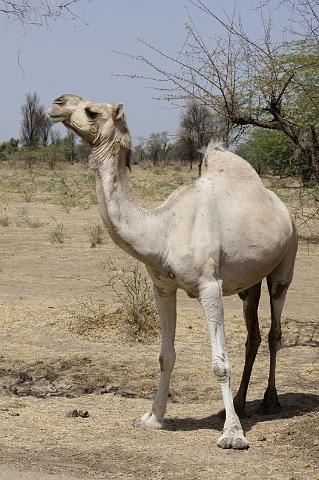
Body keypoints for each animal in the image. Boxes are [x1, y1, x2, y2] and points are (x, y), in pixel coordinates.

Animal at [48, 94, 300, 450]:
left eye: (92, 111)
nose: (58, 103)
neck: (162, 229)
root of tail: (282, 208)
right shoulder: (163, 287)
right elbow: (165, 355)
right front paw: (152, 418)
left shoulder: (209, 285)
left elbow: (219, 363)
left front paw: (233, 435)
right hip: (248, 282)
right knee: (253, 334)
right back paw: (238, 403)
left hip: (285, 261)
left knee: (276, 329)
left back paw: (269, 401)